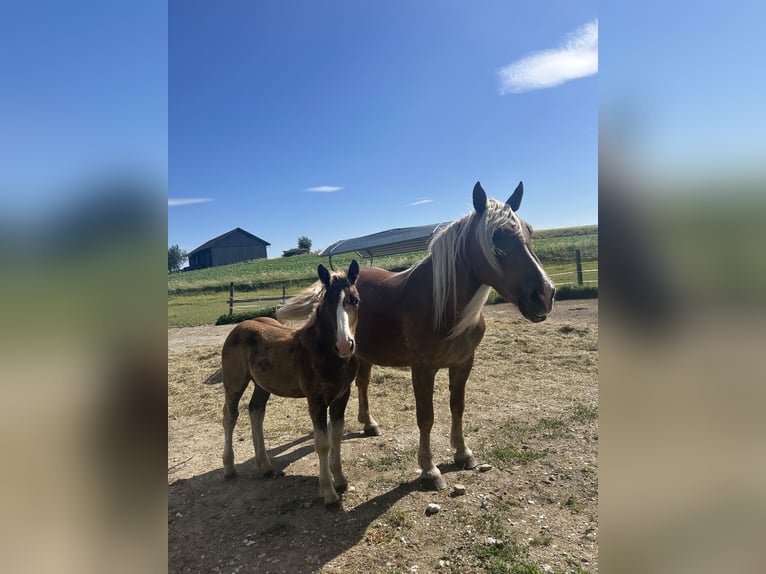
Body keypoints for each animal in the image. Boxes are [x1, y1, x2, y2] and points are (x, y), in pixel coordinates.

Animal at [217, 260, 361, 507]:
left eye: (355, 300)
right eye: (327, 303)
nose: (344, 345)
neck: (323, 352)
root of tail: (240, 326)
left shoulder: (343, 395)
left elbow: (337, 436)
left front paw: (341, 480)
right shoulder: (316, 399)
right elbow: (322, 443)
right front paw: (329, 493)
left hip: (262, 384)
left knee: (256, 410)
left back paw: (266, 467)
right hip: (234, 382)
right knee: (230, 416)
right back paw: (229, 468)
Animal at [278, 181, 555, 490]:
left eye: (529, 231)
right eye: (496, 236)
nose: (545, 294)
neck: (441, 306)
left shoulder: (463, 363)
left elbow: (457, 407)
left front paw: (463, 453)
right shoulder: (423, 368)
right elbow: (426, 417)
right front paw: (429, 470)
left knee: (363, 383)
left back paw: (369, 423)